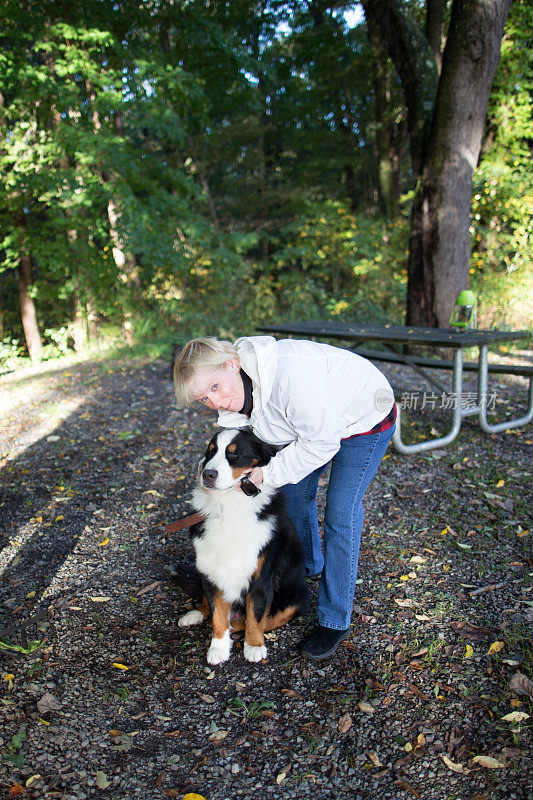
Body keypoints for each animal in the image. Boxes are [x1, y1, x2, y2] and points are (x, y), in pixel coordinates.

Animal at [177, 428, 308, 664]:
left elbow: (256, 615)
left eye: (235, 455)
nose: (207, 474)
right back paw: (195, 614)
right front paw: (218, 647)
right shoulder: (211, 570)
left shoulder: (261, 576)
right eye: (210, 452)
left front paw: (254, 645)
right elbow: (217, 612)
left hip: (295, 596)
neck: (228, 506)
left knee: (263, 619)